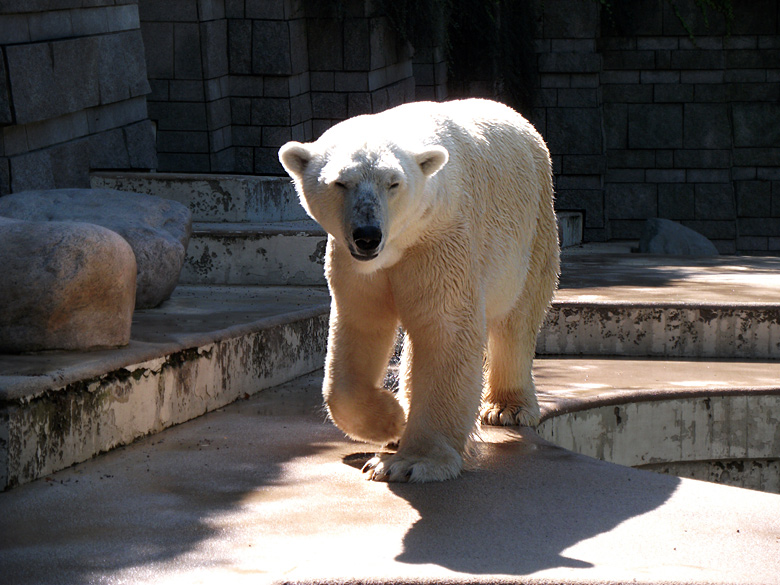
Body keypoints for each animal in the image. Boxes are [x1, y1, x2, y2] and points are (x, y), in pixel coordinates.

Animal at [280, 98, 560, 482]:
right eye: (340, 182)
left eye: (393, 183)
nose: (367, 235)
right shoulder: (354, 264)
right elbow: (360, 326)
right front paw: (392, 421)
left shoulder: (441, 239)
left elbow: (445, 331)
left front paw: (412, 462)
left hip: (533, 228)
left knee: (517, 319)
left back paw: (507, 408)